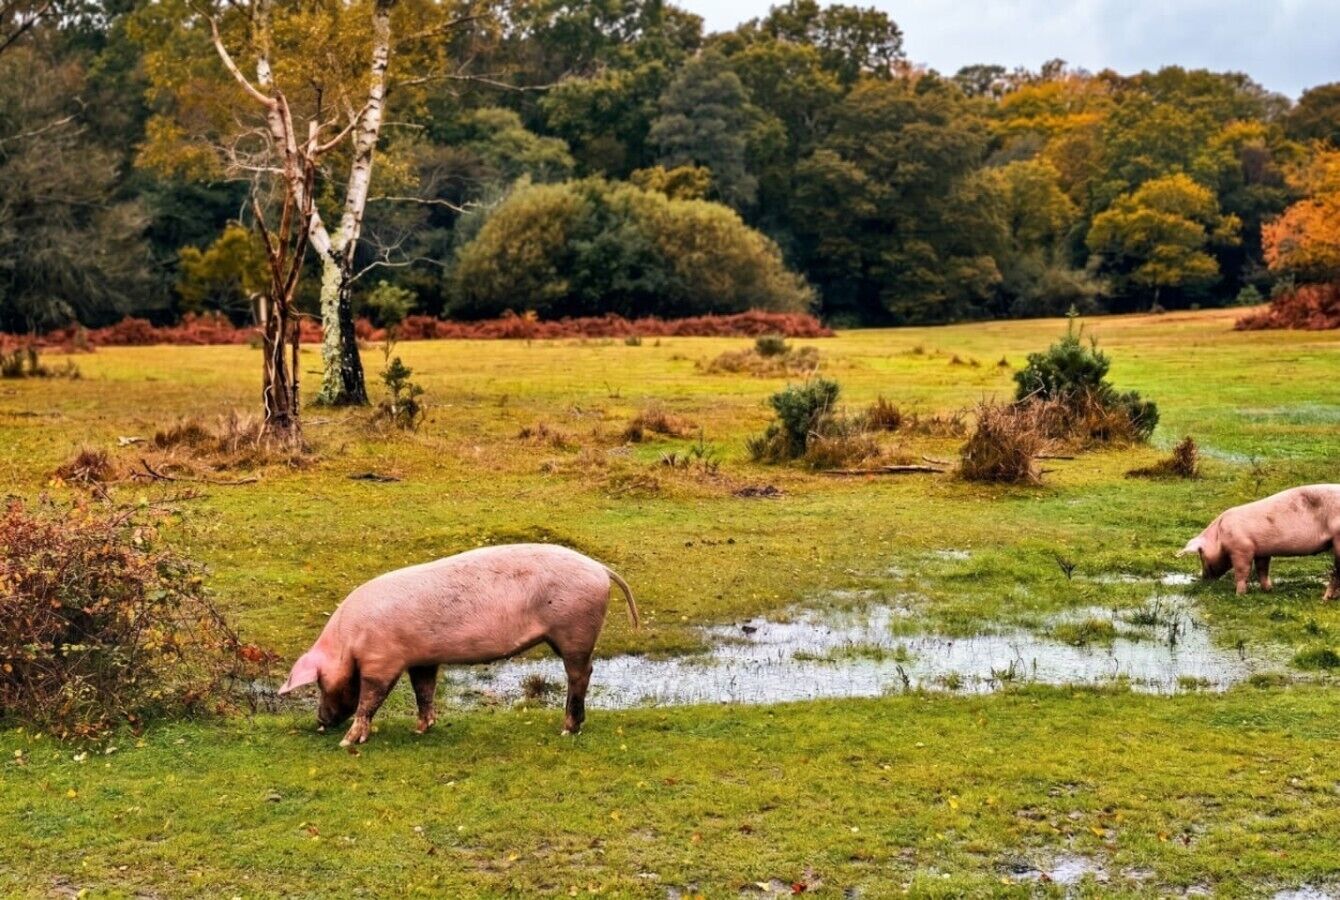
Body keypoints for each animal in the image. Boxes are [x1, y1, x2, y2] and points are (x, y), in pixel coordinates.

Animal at [277, 544, 638, 747]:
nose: (321, 722)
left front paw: (347, 742)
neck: (350, 641)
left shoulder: (382, 660)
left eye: (320, 682)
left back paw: (567, 730)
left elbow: (370, 699)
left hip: (574, 629)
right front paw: (420, 730)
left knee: (581, 673)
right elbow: (424, 690)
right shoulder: (421, 658)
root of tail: (600, 568)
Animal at [1177, 484, 1340, 599]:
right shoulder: (1262, 551)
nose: (1203, 578)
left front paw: (1239, 594)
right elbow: (1262, 569)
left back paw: (1325, 598)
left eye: (1201, 554)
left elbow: (1242, 571)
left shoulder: (1242, 548)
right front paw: (1268, 590)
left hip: (1337, 539)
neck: (1220, 535)